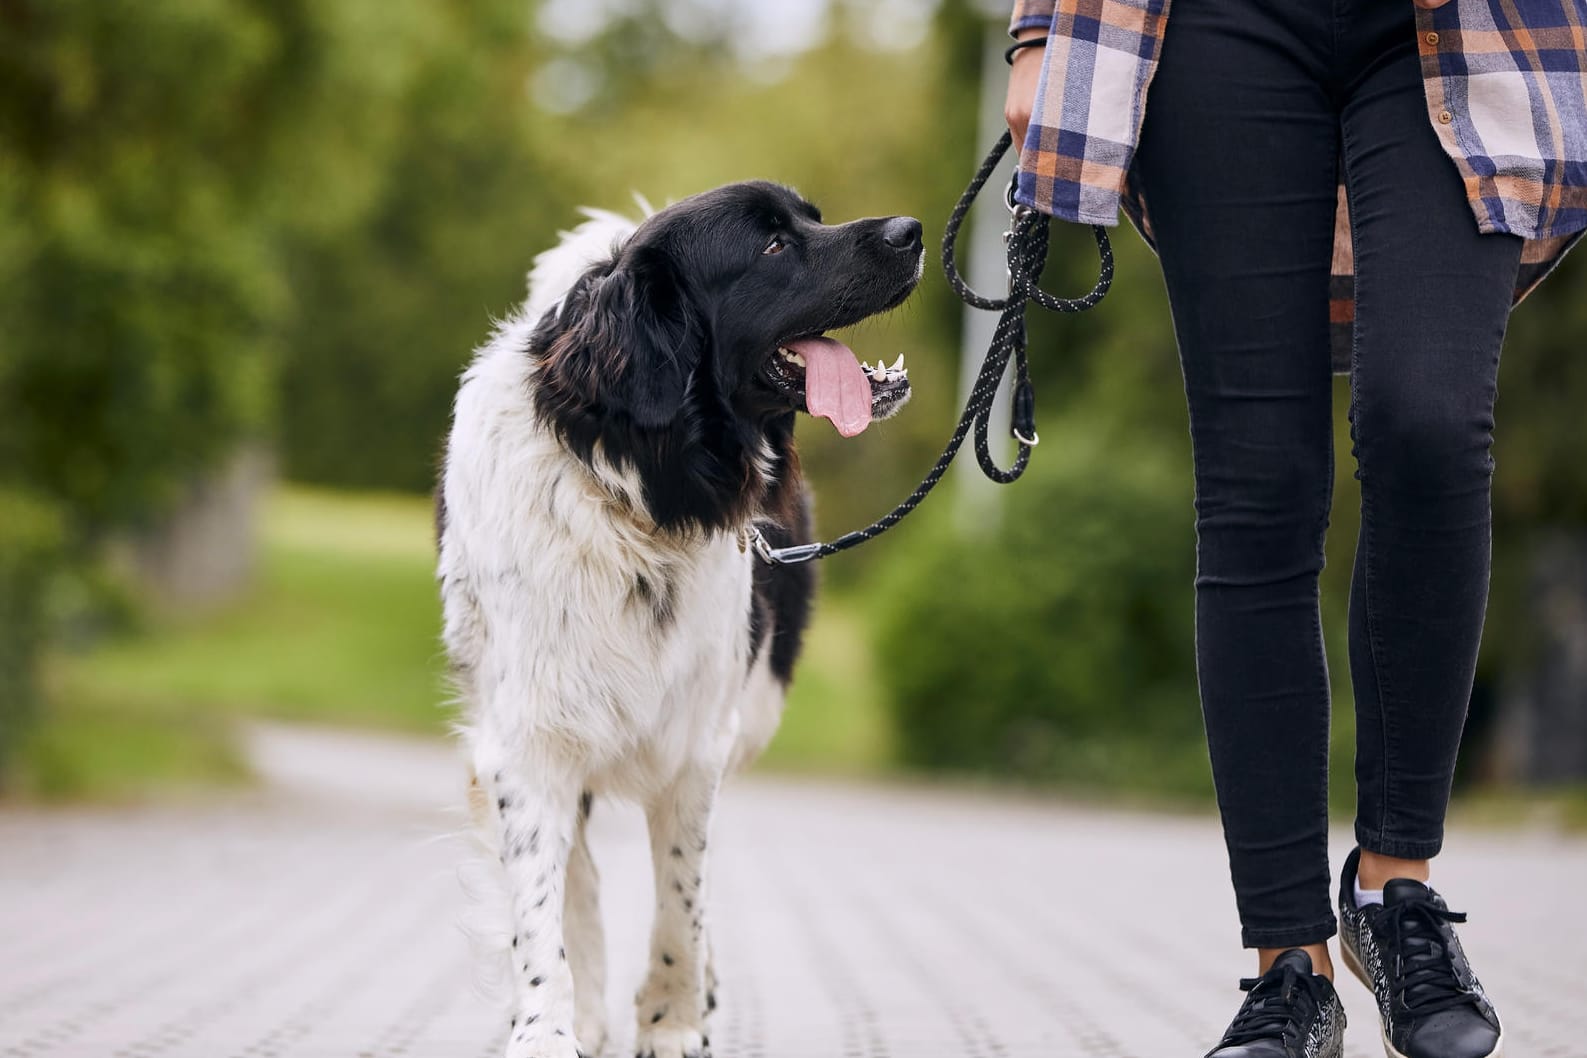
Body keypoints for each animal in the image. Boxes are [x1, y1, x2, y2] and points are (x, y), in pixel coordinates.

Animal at [441, 182, 926, 1058]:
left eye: (810, 217)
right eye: (772, 246)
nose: (912, 232)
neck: (636, 493)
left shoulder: (698, 743)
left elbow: (680, 898)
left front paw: (673, 1023)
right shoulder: (522, 742)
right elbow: (543, 908)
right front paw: (548, 1027)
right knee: (577, 878)